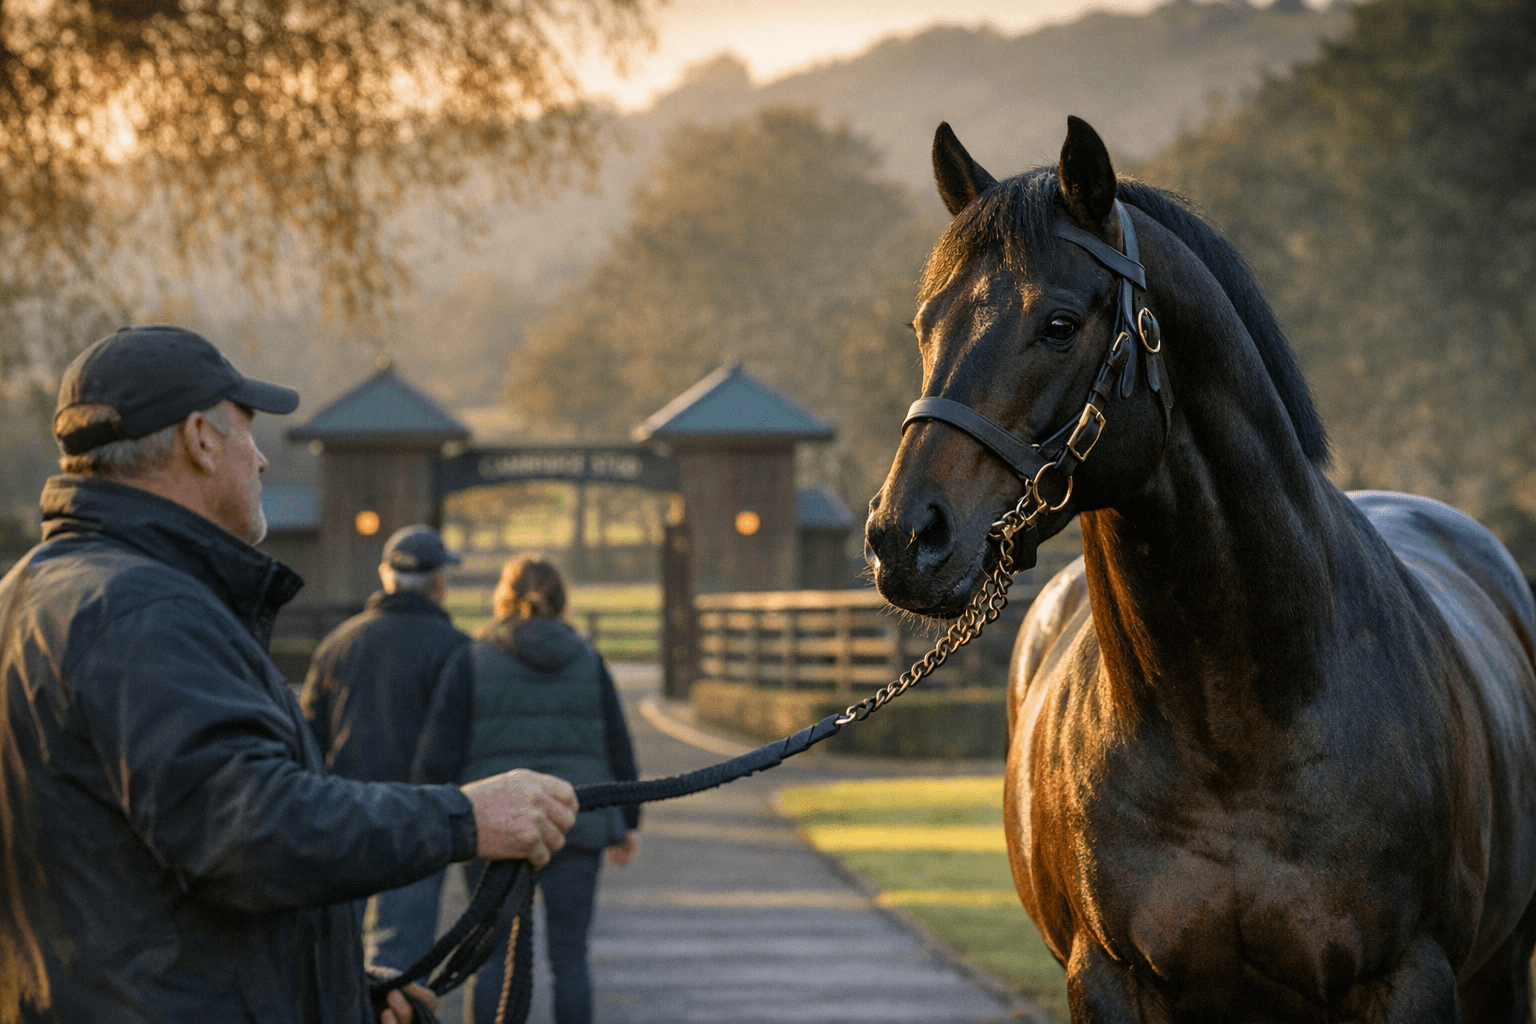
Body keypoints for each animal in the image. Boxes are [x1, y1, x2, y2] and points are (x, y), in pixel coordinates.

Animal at [864, 115, 1536, 1022]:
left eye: (1059, 323)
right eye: (923, 324)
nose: (905, 537)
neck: (1235, 723)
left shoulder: (1411, 977)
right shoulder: (1109, 979)